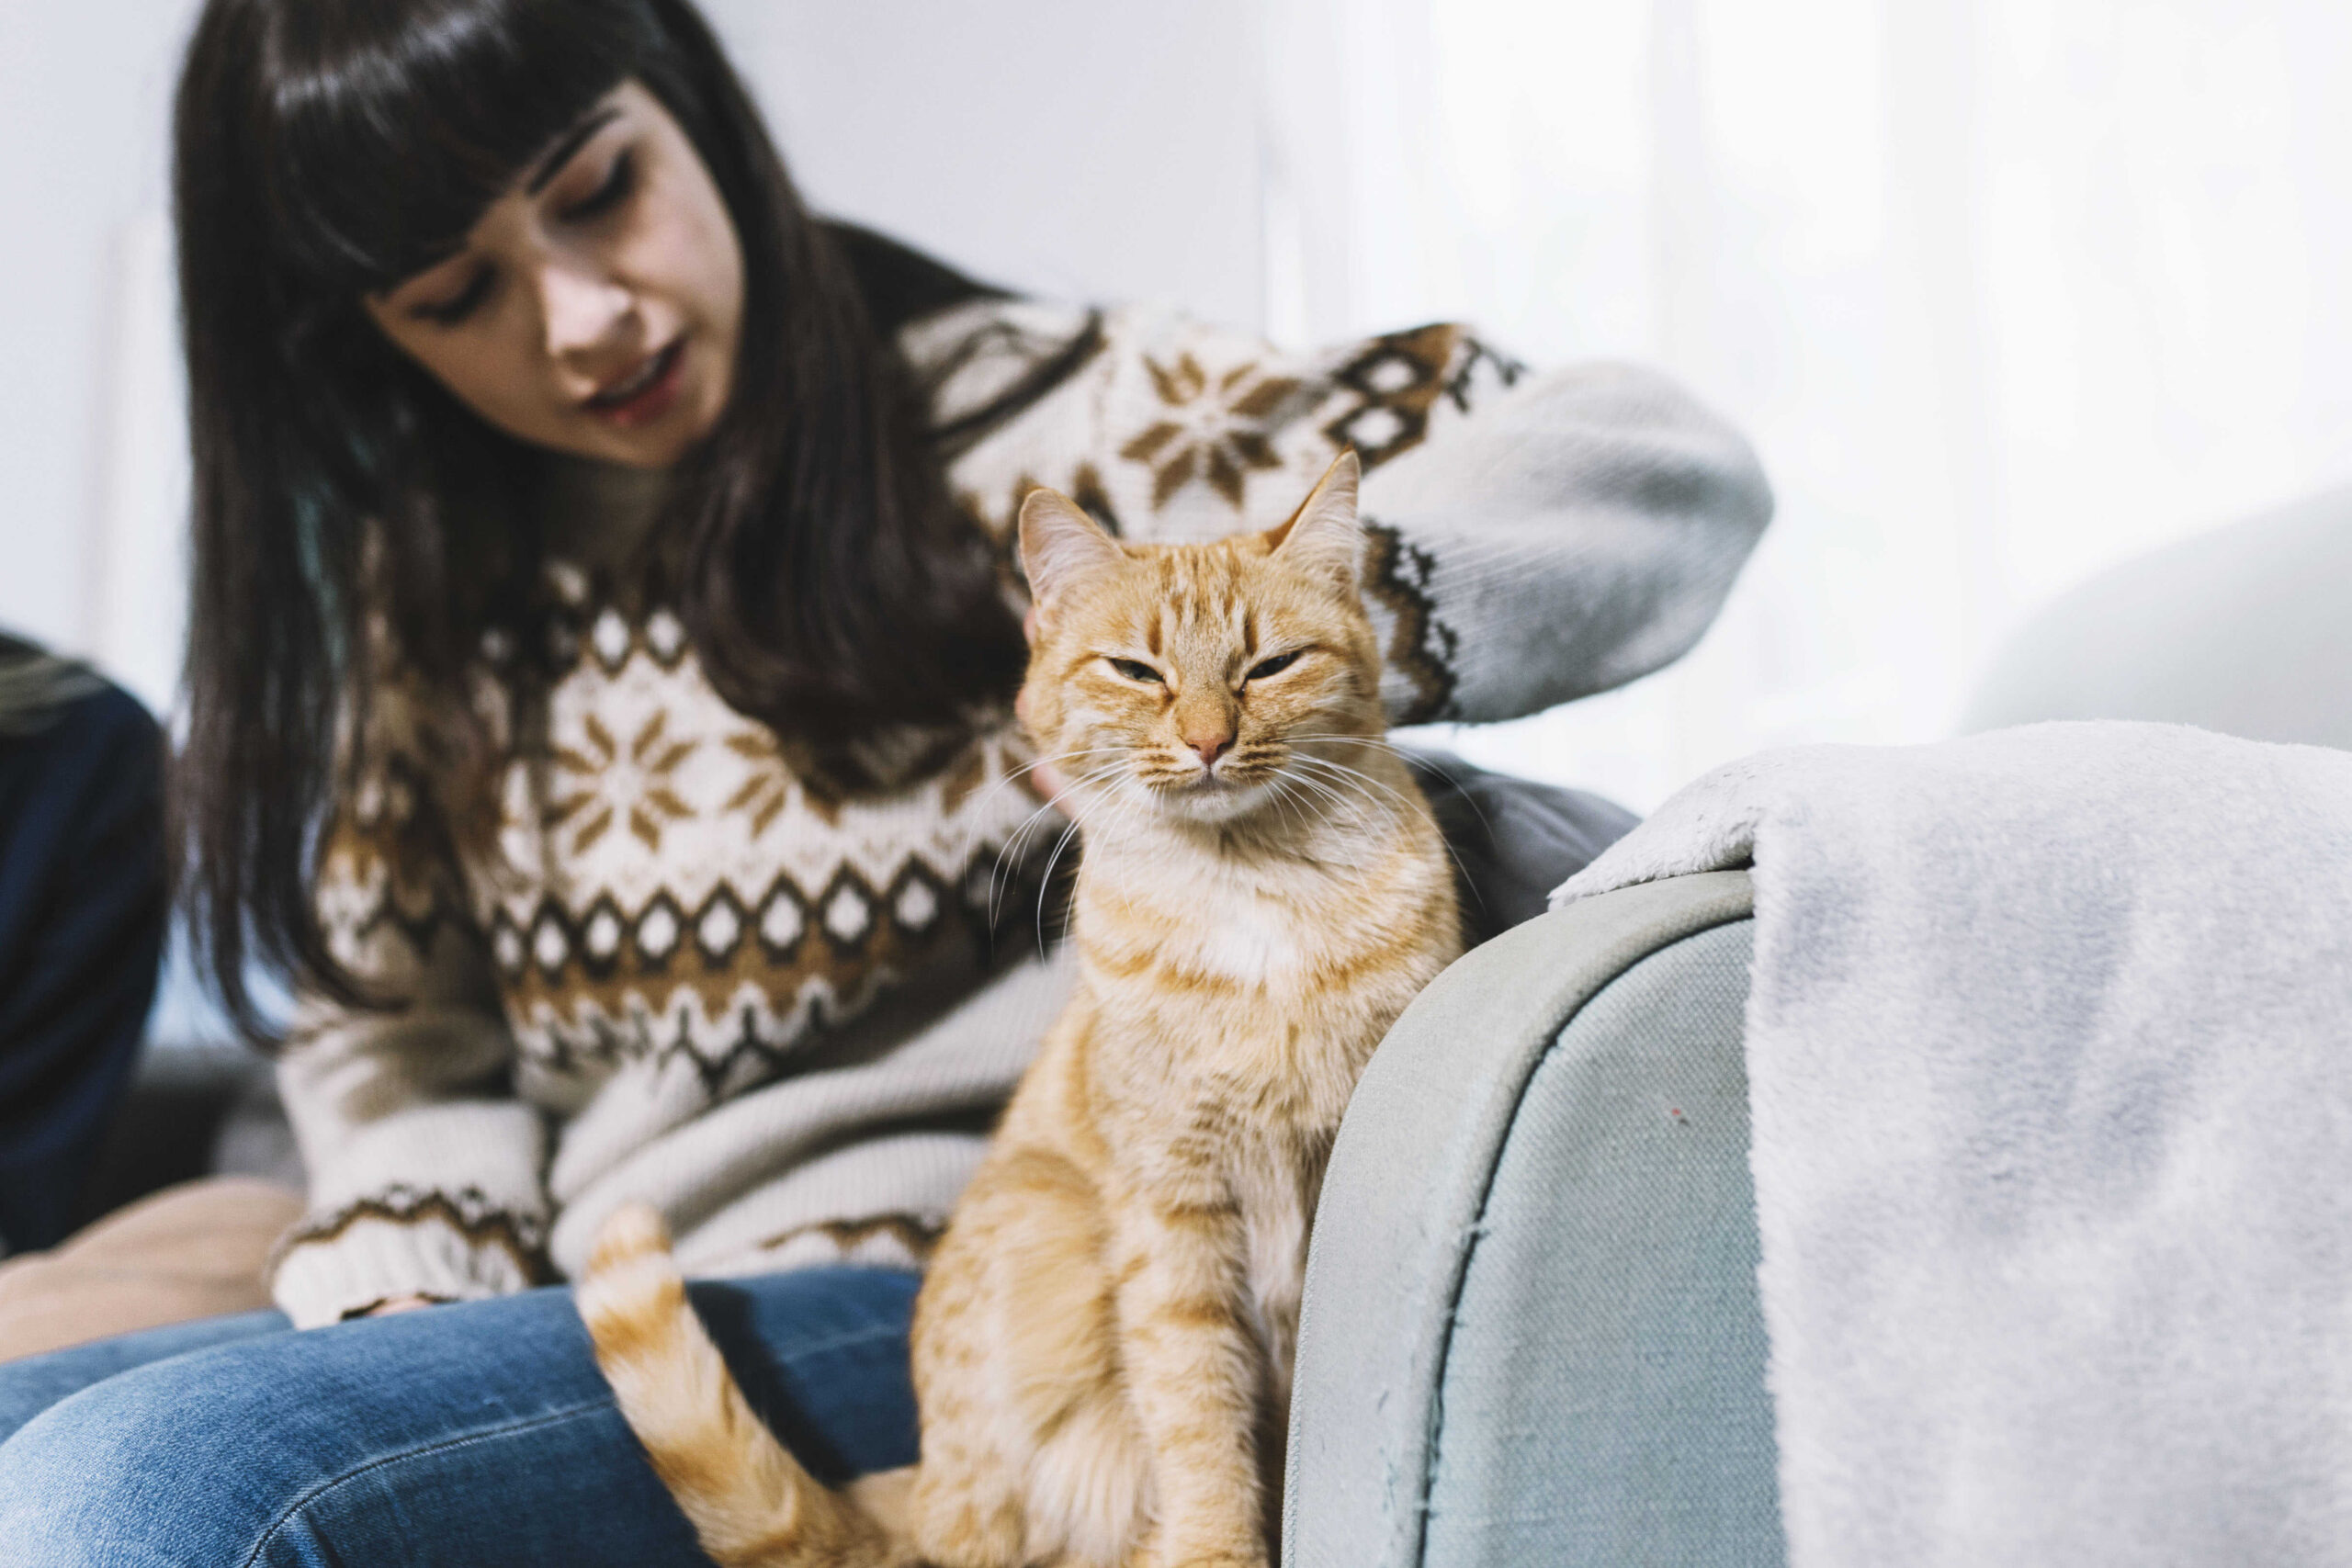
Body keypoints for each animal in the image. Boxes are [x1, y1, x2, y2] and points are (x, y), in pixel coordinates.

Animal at [578, 446, 1458, 1561]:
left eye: (1269, 667)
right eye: (1137, 671)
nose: (1209, 740)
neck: (1249, 890)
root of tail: (915, 1494)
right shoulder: (1171, 1212)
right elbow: (1198, 1417)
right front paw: (1218, 1545)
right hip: (1048, 1221)